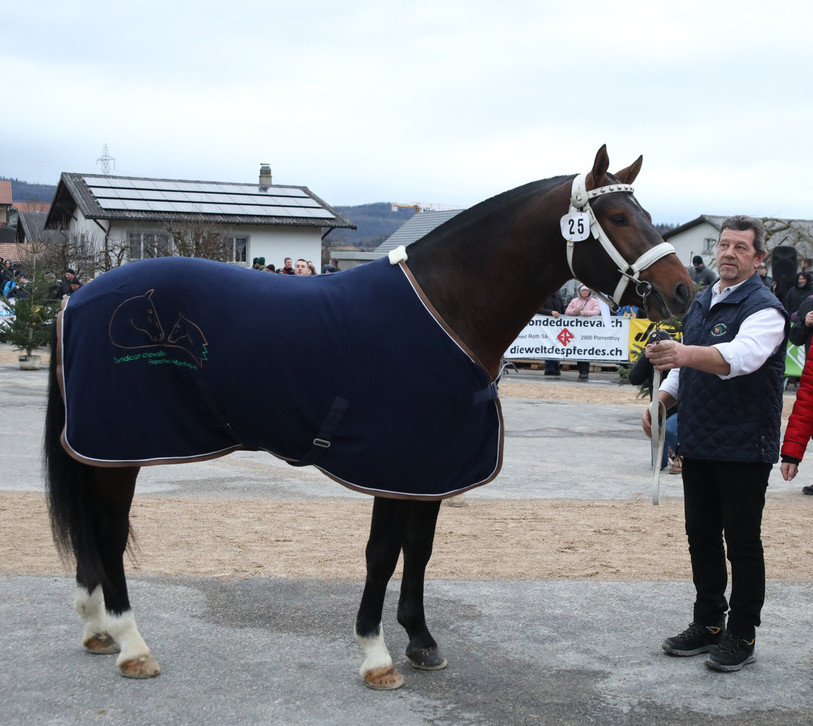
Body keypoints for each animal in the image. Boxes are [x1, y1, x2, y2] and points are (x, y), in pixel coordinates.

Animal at [44, 146, 693, 690]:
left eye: (644, 213)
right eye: (617, 217)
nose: (683, 290)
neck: (446, 307)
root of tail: (76, 298)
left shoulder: (431, 465)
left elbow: (419, 549)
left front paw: (422, 641)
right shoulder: (393, 461)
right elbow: (382, 551)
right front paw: (376, 654)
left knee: (94, 531)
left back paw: (97, 630)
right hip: (120, 447)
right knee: (109, 531)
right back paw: (131, 644)